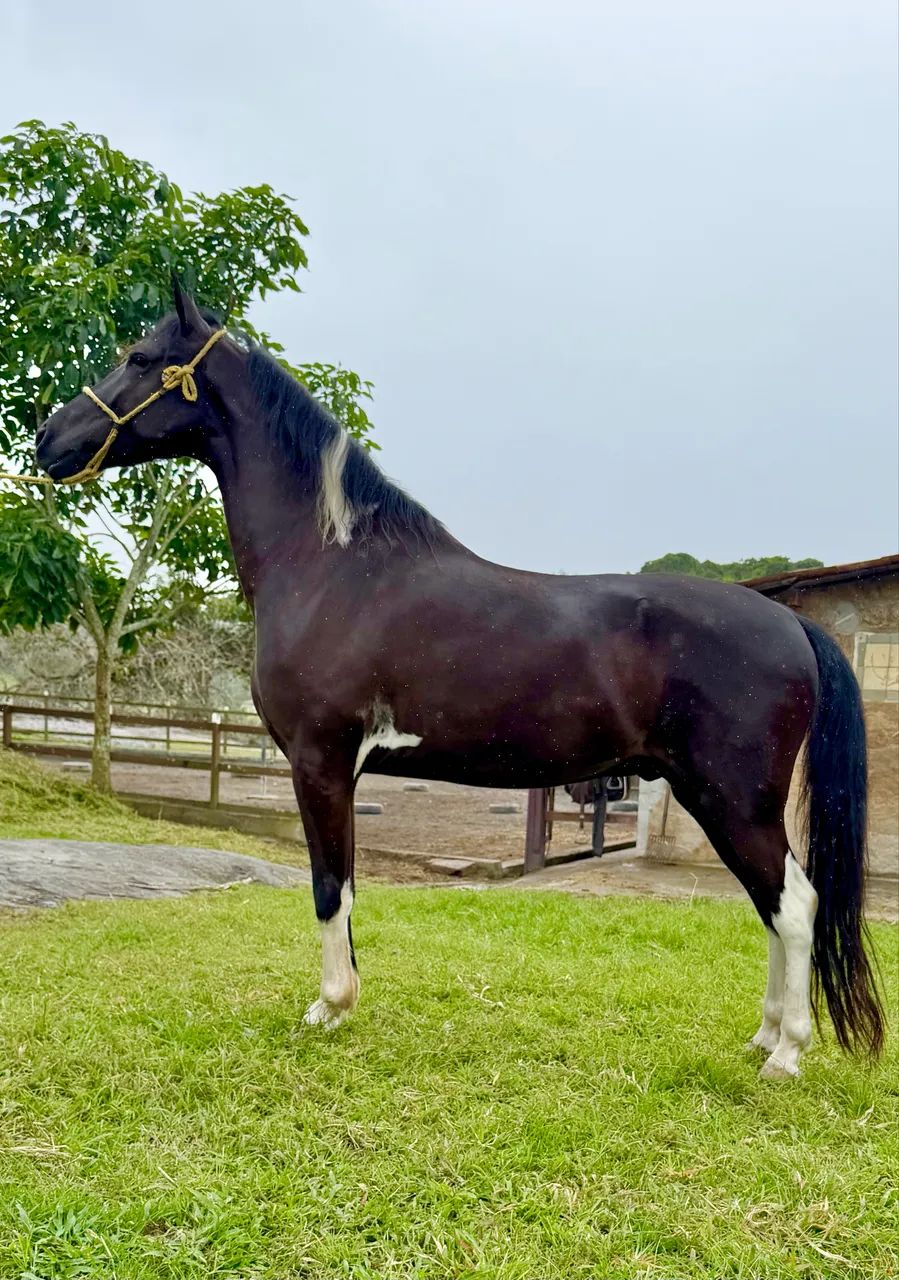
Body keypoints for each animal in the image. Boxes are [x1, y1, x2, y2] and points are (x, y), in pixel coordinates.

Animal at [35, 280, 884, 1078]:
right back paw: (762, 1036)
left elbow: (330, 886)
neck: (332, 566)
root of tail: (790, 624)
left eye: (138, 357)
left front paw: (329, 1008)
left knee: (793, 903)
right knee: (772, 904)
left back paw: (785, 1053)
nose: (47, 439)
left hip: (733, 798)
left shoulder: (319, 761)